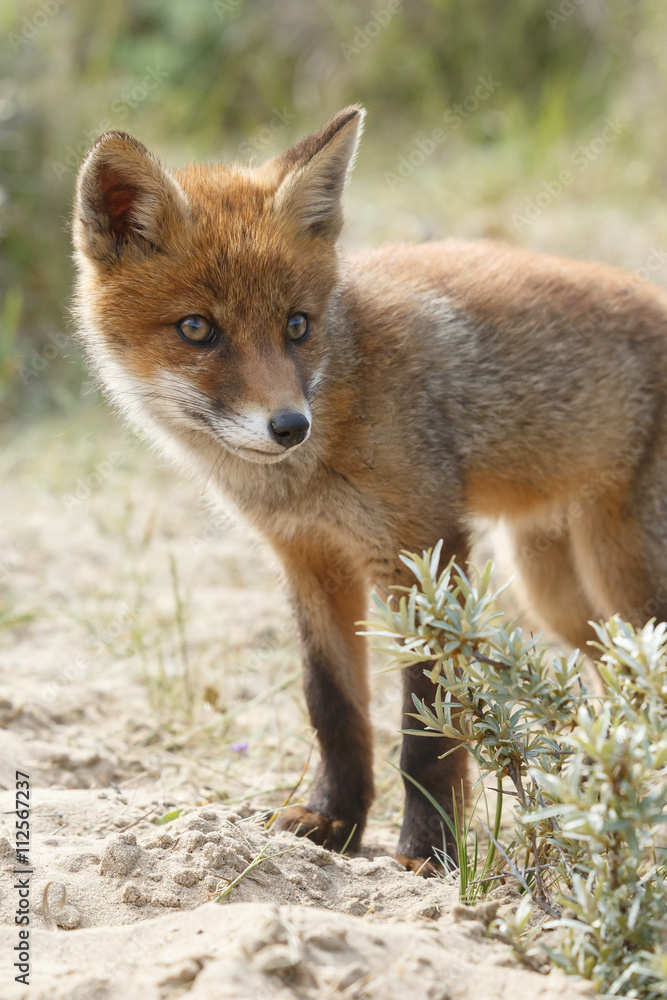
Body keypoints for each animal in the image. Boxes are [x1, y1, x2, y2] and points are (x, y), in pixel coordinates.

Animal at [73, 107, 667, 868]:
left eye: (297, 325)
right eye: (197, 329)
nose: (289, 426)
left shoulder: (425, 549)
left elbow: (427, 730)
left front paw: (429, 850)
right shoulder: (310, 562)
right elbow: (333, 708)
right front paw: (335, 820)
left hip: (621, 577)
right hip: (558, 592)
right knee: (613, 681)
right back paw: (597, 787)